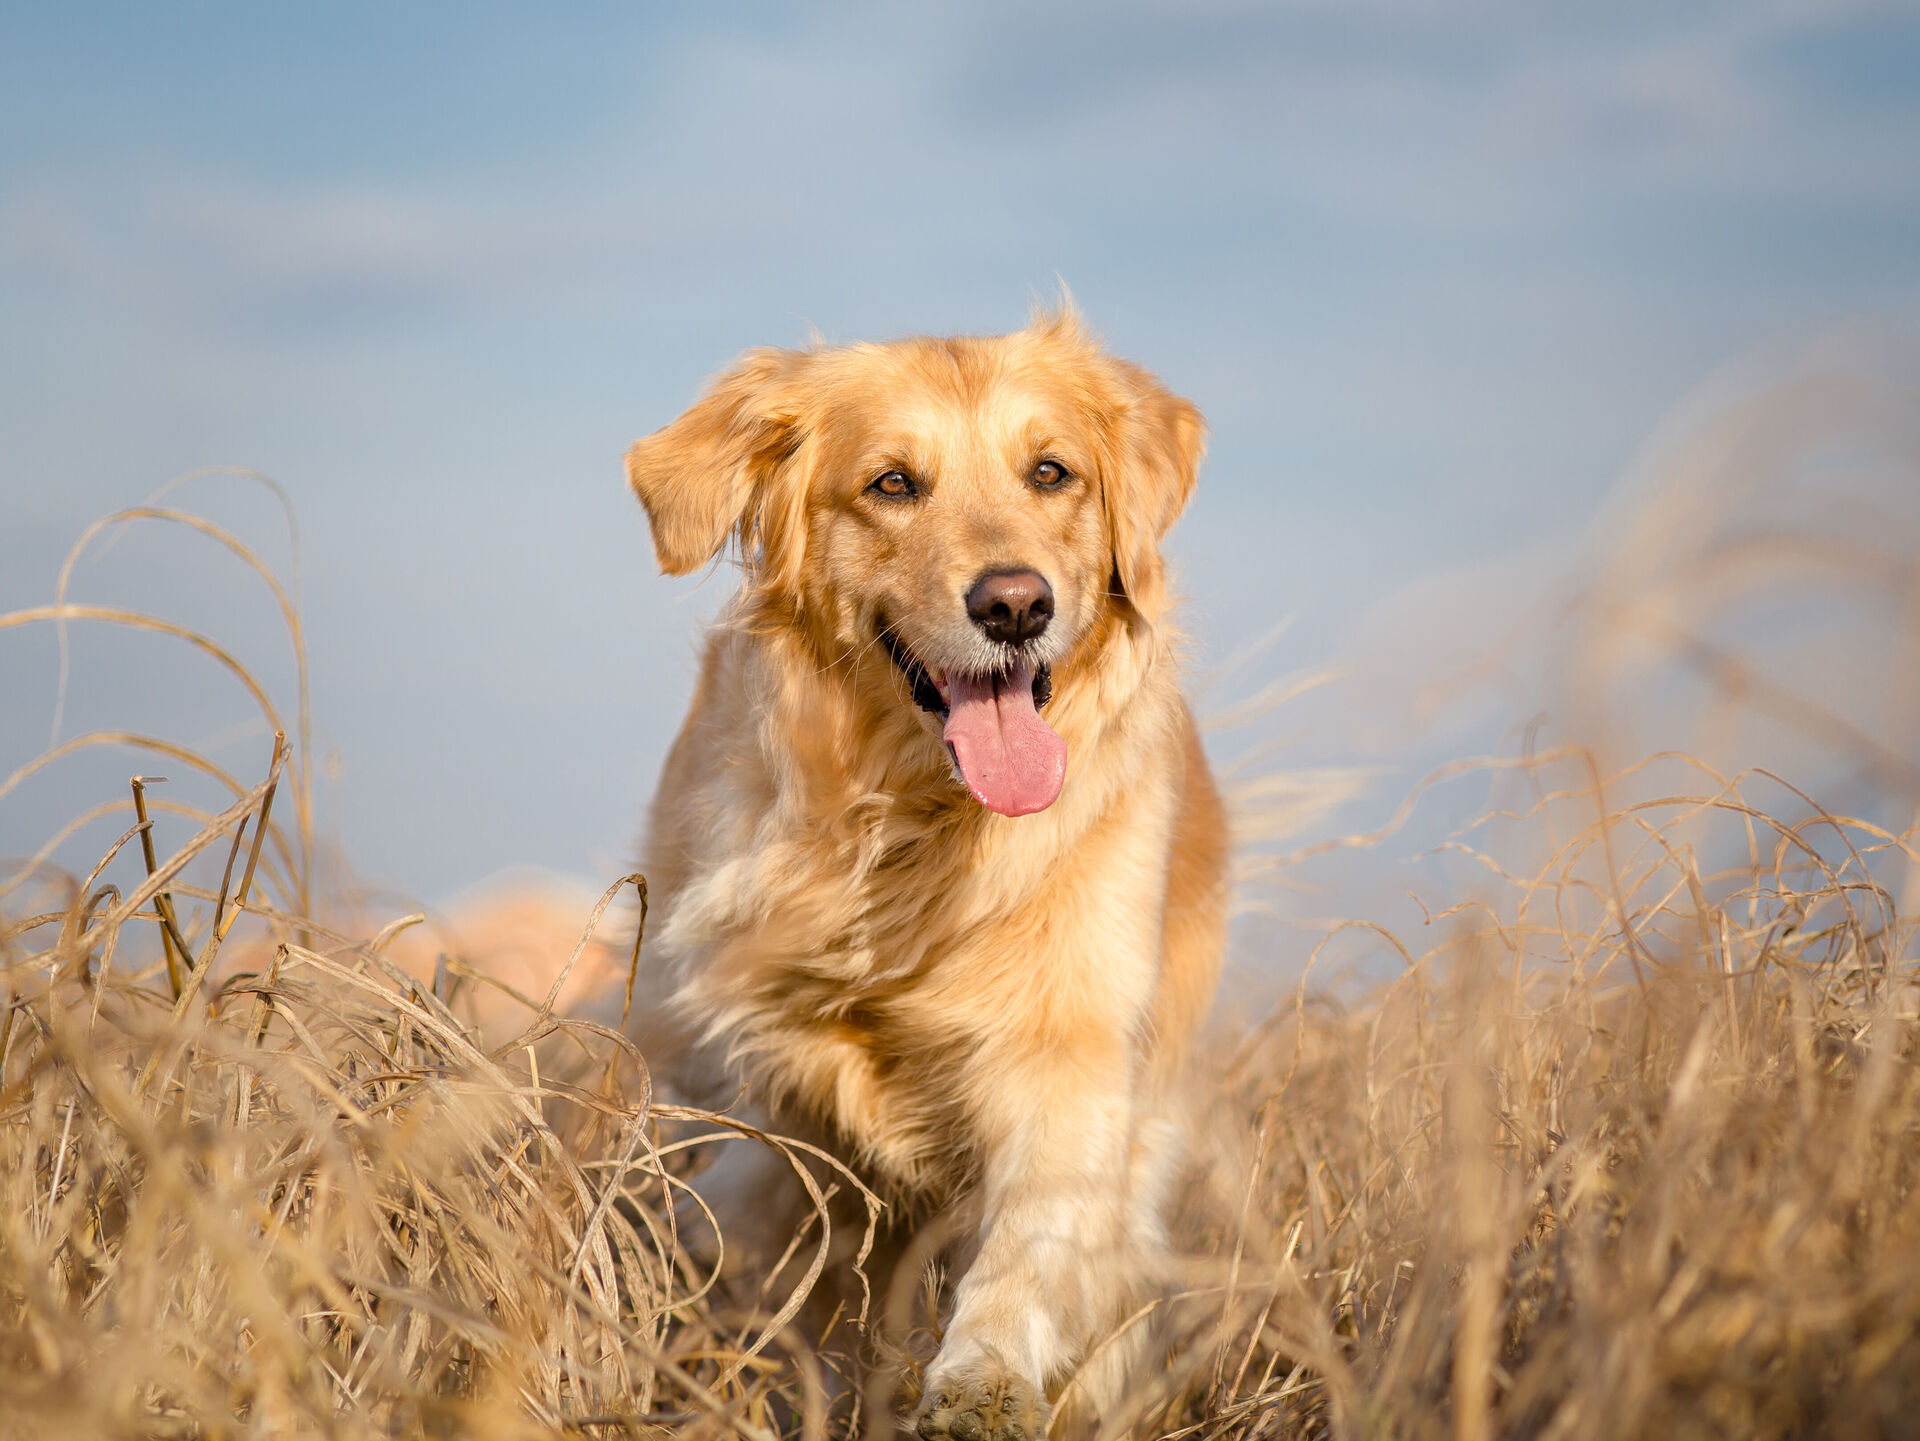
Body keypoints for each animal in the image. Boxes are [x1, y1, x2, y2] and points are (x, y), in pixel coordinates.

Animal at [629, 310, 1228, 1435]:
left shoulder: (1073, 1041)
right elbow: (780, 1232)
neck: (919, 823)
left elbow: (1034, 1235)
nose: (1015, 605)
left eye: (1051, 472)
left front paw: (984, 1377)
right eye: (894, 483)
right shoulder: (767, 1068)